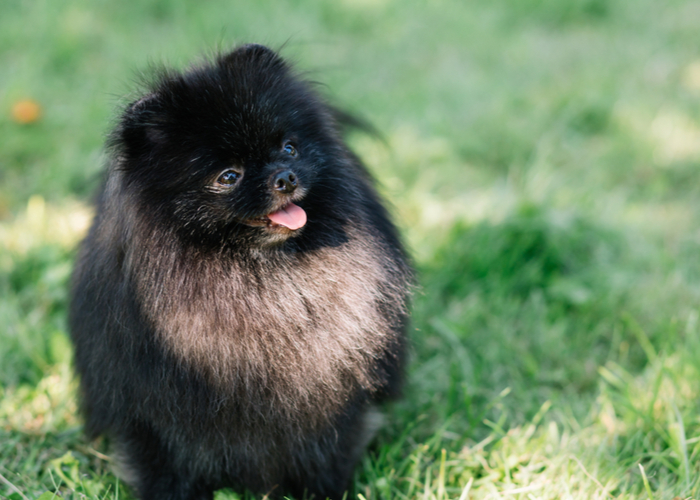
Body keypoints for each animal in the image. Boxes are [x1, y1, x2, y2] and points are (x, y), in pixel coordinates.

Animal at [68, 44, 410, 500]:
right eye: (228, 176)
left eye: (288, 148)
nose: (284, 176)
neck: (260, 279)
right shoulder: (153, 418)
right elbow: (164, 468)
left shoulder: (333, 408)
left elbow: (326, 460)